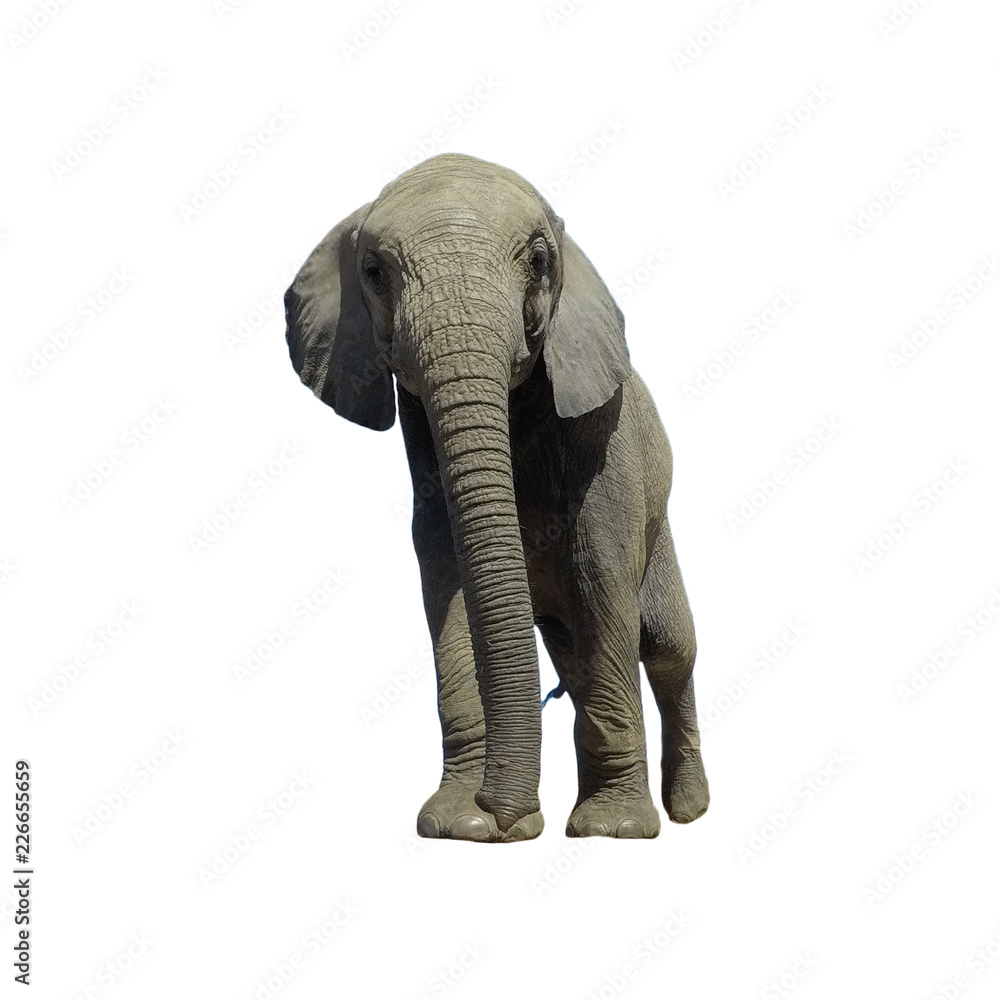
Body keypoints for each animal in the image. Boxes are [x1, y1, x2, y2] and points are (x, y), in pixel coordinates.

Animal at [284, 153, 708, 841]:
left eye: (538, 260)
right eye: (373, 272)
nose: (502, 813)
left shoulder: (605, 439)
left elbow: (600, 571)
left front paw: (613, 829)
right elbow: (446, 573)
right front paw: (461, 825)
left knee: (669, 646)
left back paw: (689, 810)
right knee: (574, 655)